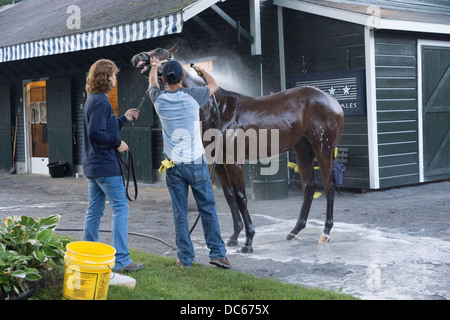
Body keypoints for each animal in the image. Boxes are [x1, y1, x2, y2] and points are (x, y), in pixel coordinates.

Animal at [130, 44, 344, 252]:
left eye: (160, 51)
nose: (137, 57)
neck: (219, 110)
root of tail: (333, 102)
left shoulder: (234, 163)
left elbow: (241, 197)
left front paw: (248, 241)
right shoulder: (220, 164)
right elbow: (230, 196)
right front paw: (234, 237)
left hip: (323, 148)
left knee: (329, 184)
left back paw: (326, 232)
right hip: (303, 149)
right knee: (309, 186)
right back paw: (294, 231)